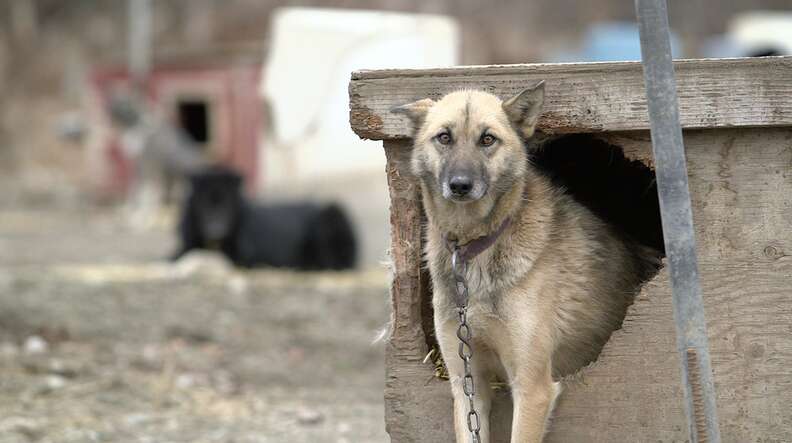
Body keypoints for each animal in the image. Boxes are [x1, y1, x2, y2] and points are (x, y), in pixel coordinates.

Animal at [392, 82, 660, 440]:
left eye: (487, 139)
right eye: (444, 137)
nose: (460, 185)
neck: (475, 247)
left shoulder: (533, 389)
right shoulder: (468, 385)